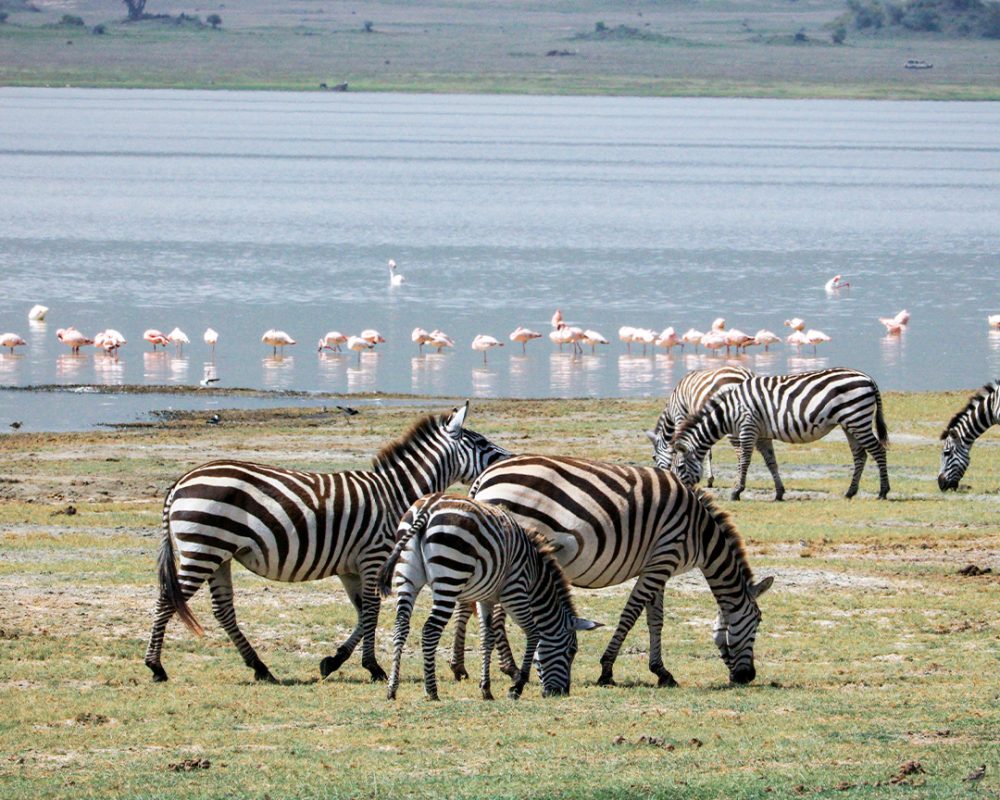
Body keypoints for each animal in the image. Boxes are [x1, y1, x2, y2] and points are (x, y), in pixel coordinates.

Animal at [145, 404, 512, 684]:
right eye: (482, 444)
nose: (509, 459)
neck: (395, 493)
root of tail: (180, 482)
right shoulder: (373, 557)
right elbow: (372, 611)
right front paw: (373, 667)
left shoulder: (351, 568)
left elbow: (363, 613)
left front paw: (334, 661)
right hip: (203, 549)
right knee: (167, 599)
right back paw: (156, 667)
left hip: (218, 554)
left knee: (223, 610)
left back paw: (261, 669)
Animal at [374, 490, 592, 704]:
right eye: (571, 651)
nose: (562, 692)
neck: (535, 576)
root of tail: (428, 507)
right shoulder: (515, 592)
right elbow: (533, 633)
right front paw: (517, 686)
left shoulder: (485, 598)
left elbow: (487, 638)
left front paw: (486, 689)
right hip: (450, 576)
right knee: (430, 630)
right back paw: (432, 690)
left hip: (407, 577)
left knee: (401, 627)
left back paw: (392, 689)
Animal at [454, 456, 772, 688]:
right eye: (757, 622)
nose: (748, 677)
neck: (700, 533)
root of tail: (485, 476)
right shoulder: (664, 558)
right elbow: (630, 615)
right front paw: (607, 670)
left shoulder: (658, 564)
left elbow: (655, 620)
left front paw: (661, 671)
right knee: (495, 612)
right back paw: (510, 669)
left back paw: (461, 667)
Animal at [672, 368, 892, 500]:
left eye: (680, 467)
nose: (680, 493)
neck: (728, 411)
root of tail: (868, 378)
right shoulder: (762, 435)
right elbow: (771, 462)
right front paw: (779, 493)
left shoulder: (747, 427)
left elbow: (744, 460)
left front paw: (736, 491)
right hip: (850, 423)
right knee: (860, 455)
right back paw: (850, 492)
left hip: (857, 419)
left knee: (878, 451)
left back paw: (883, 491)